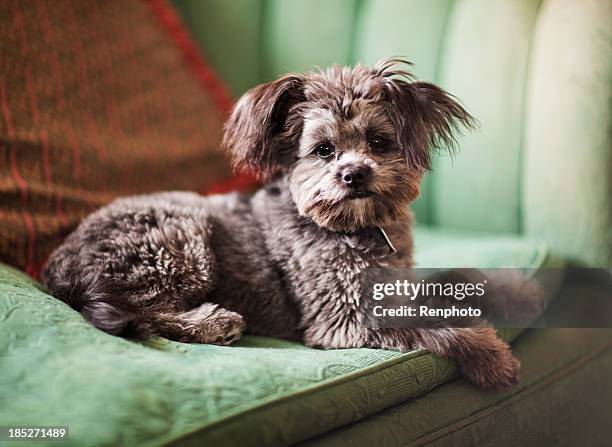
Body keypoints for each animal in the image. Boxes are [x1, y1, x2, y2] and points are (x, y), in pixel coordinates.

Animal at [41, 58, 520, 388]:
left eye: (380, 142)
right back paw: (215, 322)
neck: (353, 229)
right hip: (180, 240)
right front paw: (490, 355)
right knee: (148, 313)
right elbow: (438, 328)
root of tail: (58, 266)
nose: (354, 174)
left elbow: (447, 285)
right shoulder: (343, 319)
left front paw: (499, 290)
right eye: (323, 150)